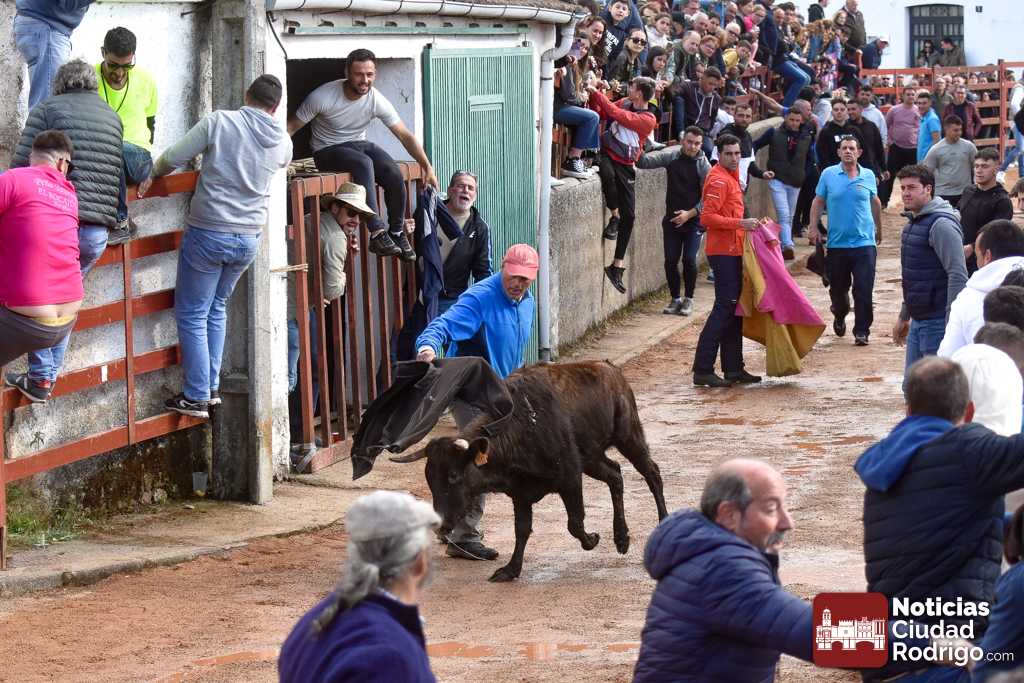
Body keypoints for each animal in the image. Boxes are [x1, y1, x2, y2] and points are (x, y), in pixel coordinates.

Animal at [390, 361, 668, 582]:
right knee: (615, 474)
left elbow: (574, 523)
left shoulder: (570, 477)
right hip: (592, 458)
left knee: (652, 473)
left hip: (628, 435)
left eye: (454, 476)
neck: (523, 426)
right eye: (430, 480)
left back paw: (662, 521)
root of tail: (610, 369)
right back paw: (621, 539)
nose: (440, 524)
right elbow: (522, 529)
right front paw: (510, 570)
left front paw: (592, 539)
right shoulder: (520, 492)